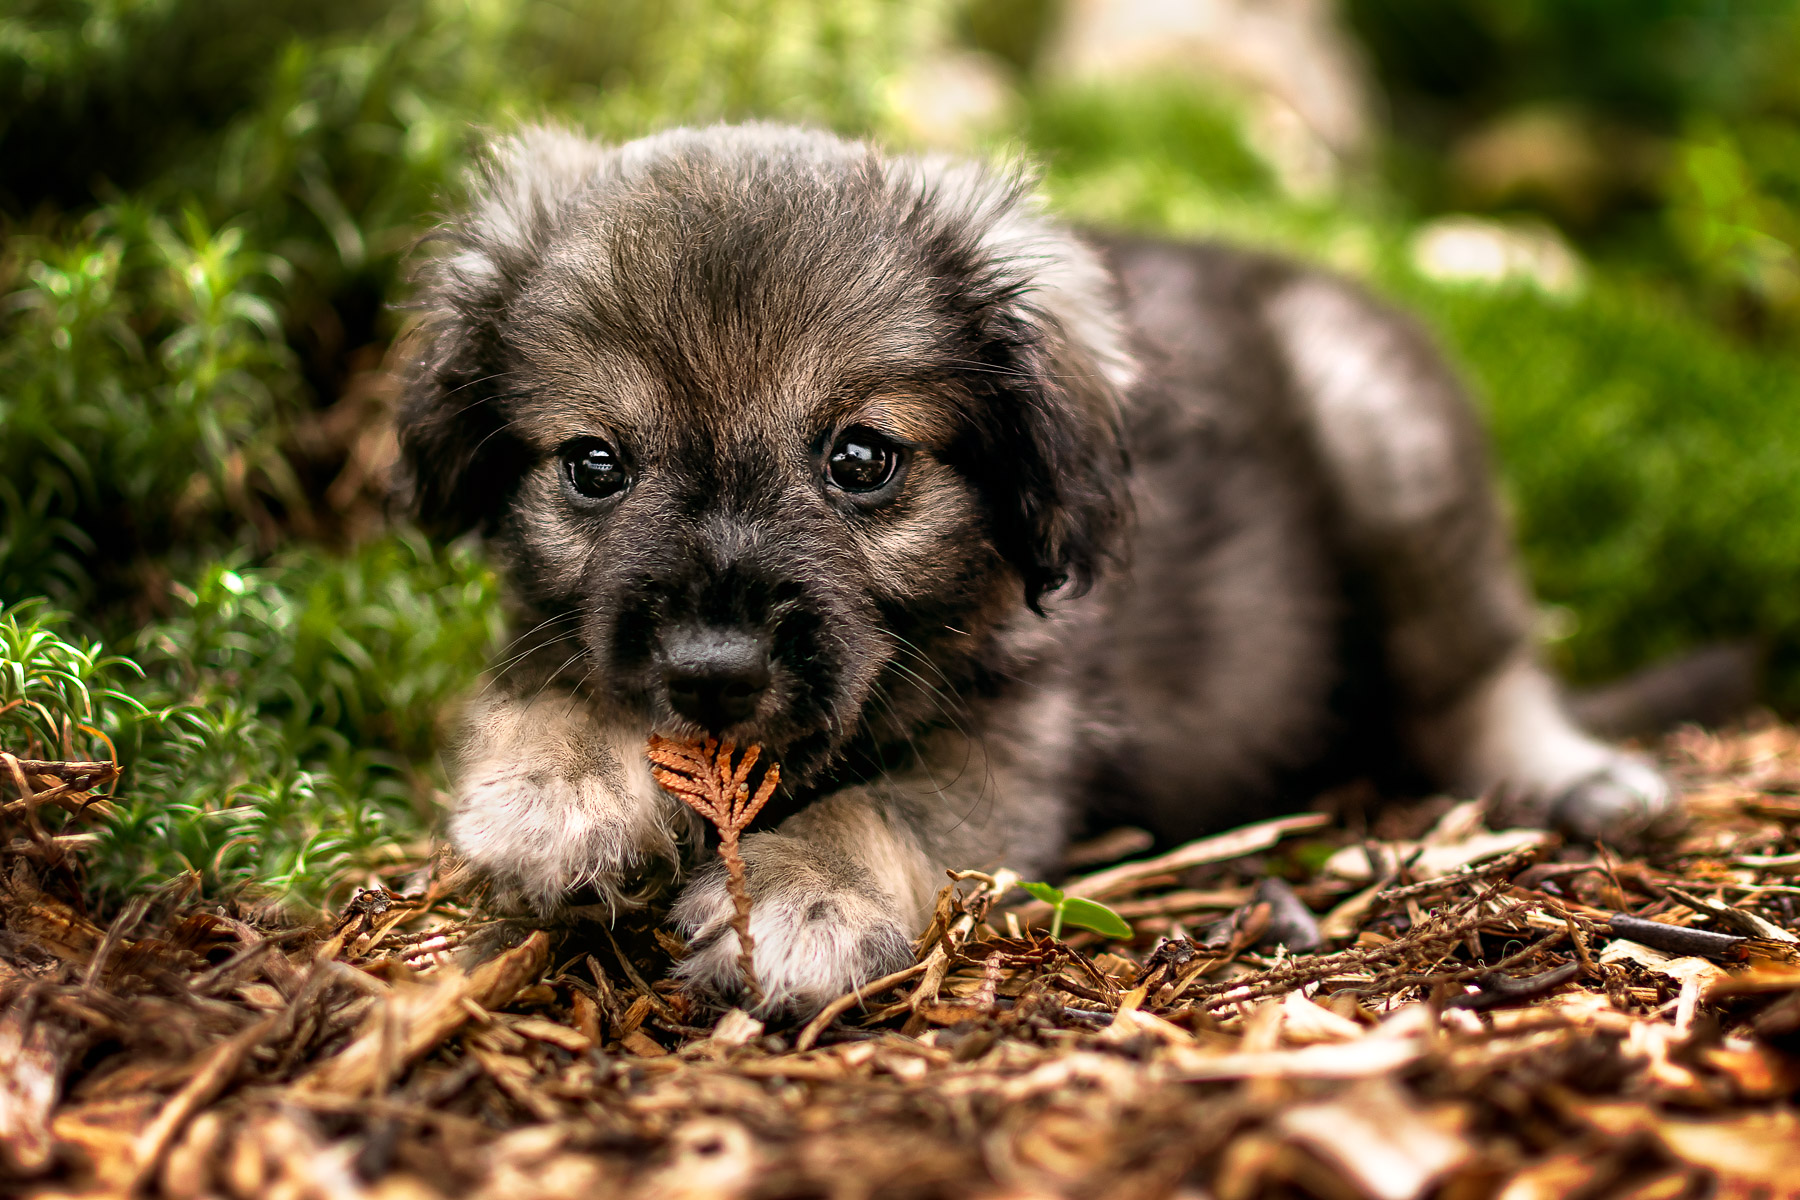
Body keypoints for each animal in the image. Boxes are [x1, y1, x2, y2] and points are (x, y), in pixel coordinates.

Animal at [394, 124, 1670, 1014]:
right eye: (594, 465)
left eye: (860, 458)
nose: (714, 669)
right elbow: (546, 680)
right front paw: (561, 786)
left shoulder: (1015, 741)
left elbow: (889, 803)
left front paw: (810, 891)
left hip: (1384, 436)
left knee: (1483, 675)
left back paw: (1575, 773)